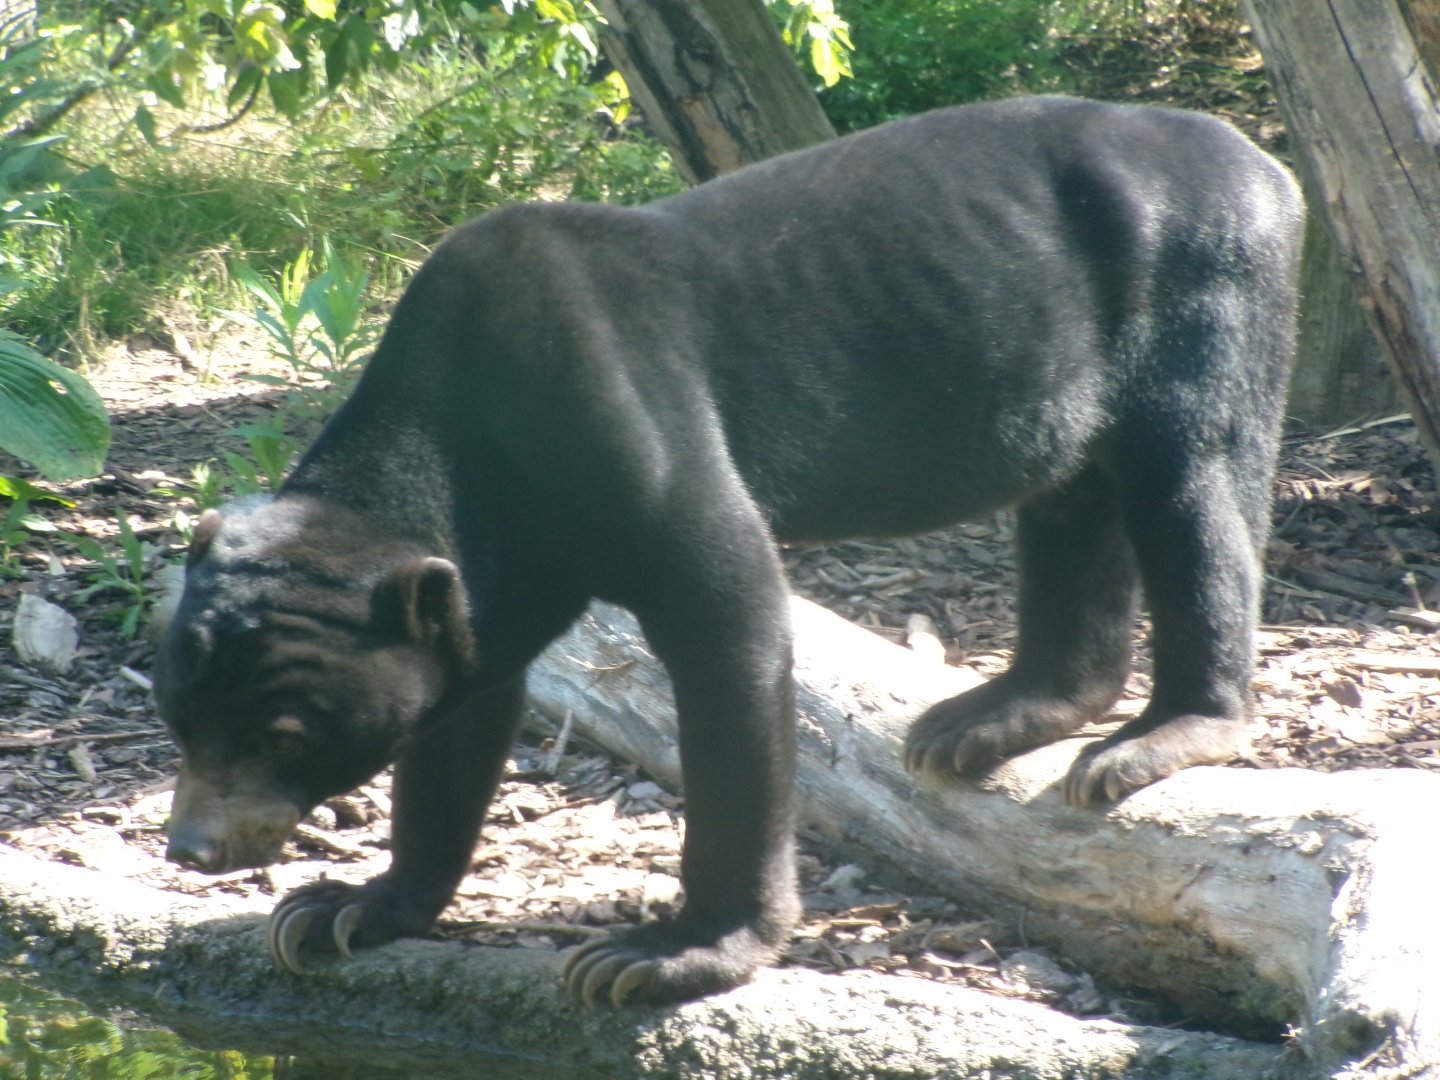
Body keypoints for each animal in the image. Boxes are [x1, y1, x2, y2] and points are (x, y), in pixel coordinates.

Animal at [155, 95, 1304, 1008]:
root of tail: (1262, 162)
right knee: (1073, 505)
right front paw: (341, 908)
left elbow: (732, 642)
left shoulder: (625, 426)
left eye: (289, 734)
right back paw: (980, 722)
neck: (462, 445)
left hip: (1204, 294)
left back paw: (1154, 739)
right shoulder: (486, 585)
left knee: (1195, 493)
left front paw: (663, 956)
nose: (194, 846)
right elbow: (460, 718)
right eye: (179, 715)